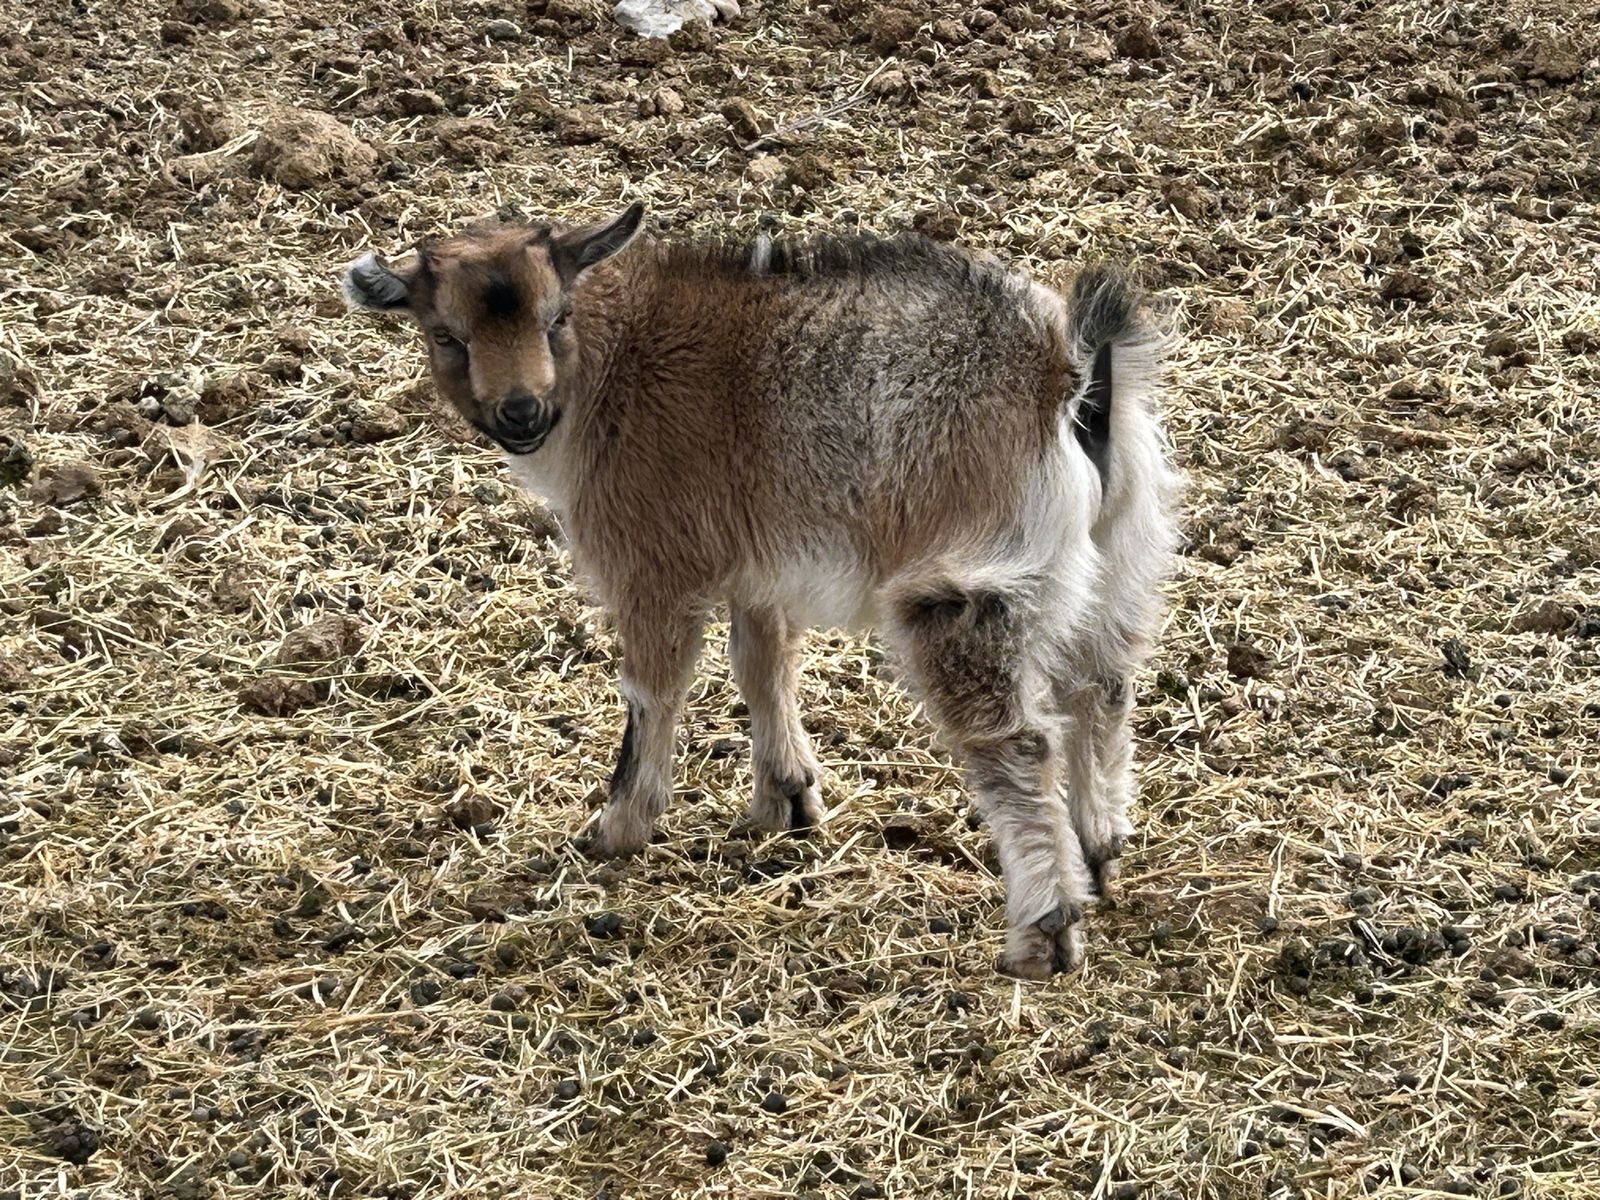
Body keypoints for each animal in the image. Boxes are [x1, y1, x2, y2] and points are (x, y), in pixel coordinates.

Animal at [342, 203, 1181, 979]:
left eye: (556, 319)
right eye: (444, 335)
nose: (521, 412)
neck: (618, 363)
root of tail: (1068, 376)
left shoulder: (653, 563)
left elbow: (652, 691)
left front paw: (618, 828)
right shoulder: (757, 563)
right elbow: (762, 663)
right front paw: (787, 801)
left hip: (974, 579)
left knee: (1019, 739)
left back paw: (1043, 933)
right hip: (1120, 552)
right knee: (1103, 688)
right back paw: (1099, 851)